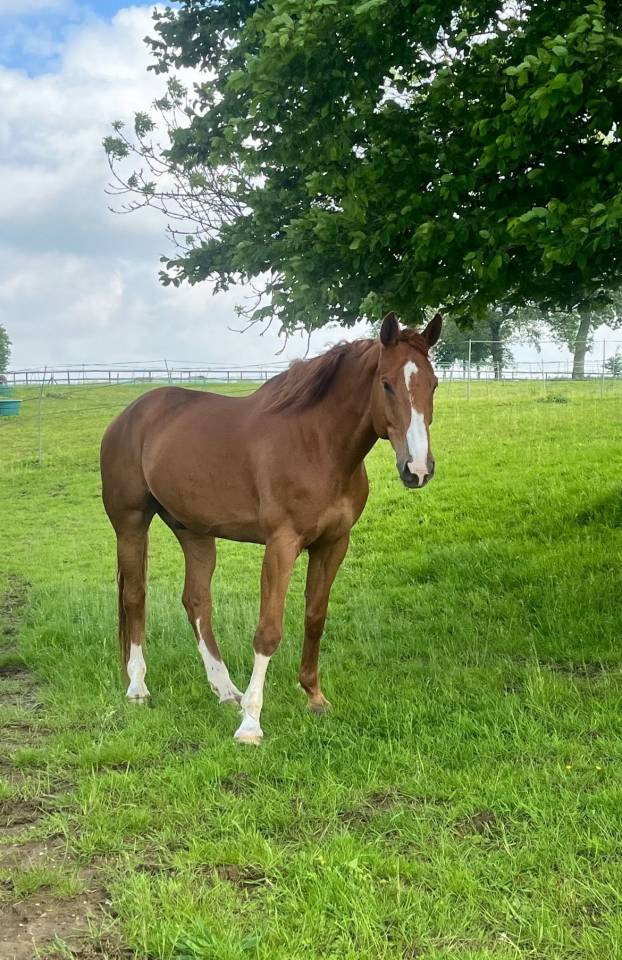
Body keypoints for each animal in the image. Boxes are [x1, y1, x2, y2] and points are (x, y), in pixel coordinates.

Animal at [100, 311, 442, 744]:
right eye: (386, 384)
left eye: (433, 384)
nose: (418, 469)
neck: (317, 445)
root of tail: (129, 416)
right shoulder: (281, 544)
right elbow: (269, 630)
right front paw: (250, 722)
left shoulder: (333, 544)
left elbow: (315, 617)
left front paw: (314, 696)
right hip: (130, 524)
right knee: (135, 598)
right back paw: (138, 687)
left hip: (194, 531)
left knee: (196, 601)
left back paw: (224, 688)